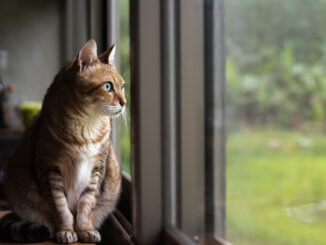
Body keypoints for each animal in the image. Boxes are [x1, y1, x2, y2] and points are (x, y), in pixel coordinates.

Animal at [0, 39, 126, 244]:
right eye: (108, 86)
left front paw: (85, 230)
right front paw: (66, 231)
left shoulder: (97, 169)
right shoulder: (50, 169)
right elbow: (61, 208)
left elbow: (86, 205)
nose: (124, 103)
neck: (87, 125)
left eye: (122, 86)